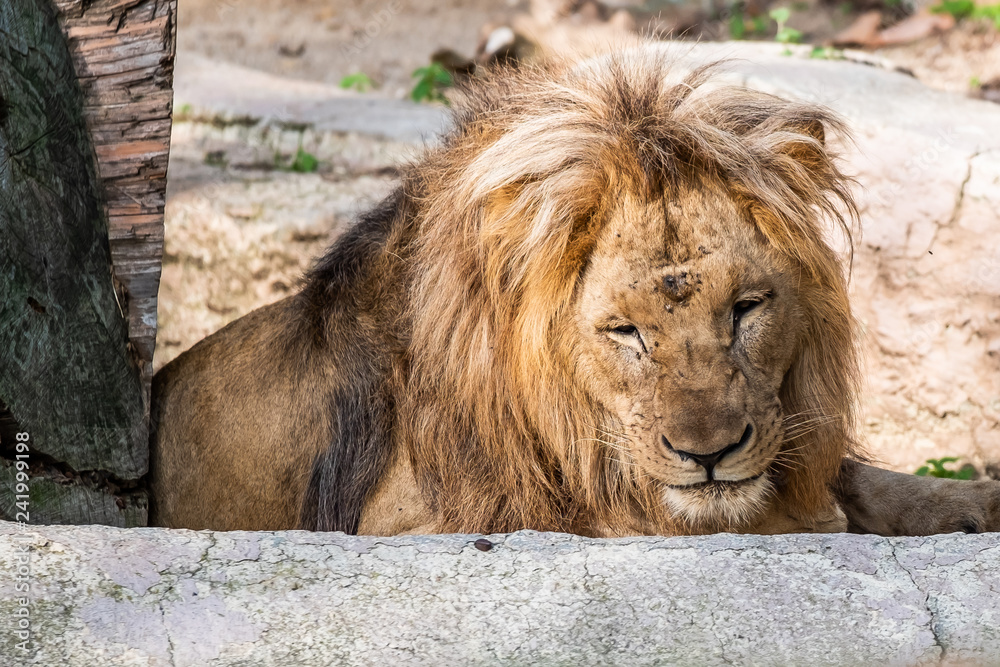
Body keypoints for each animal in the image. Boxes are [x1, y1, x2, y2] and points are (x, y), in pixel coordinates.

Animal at [150, 51, 1000, 537]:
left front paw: (970, 502)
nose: (710, 454)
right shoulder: (412, 525)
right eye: (626, 332)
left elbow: (850, 473)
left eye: (745, 309)